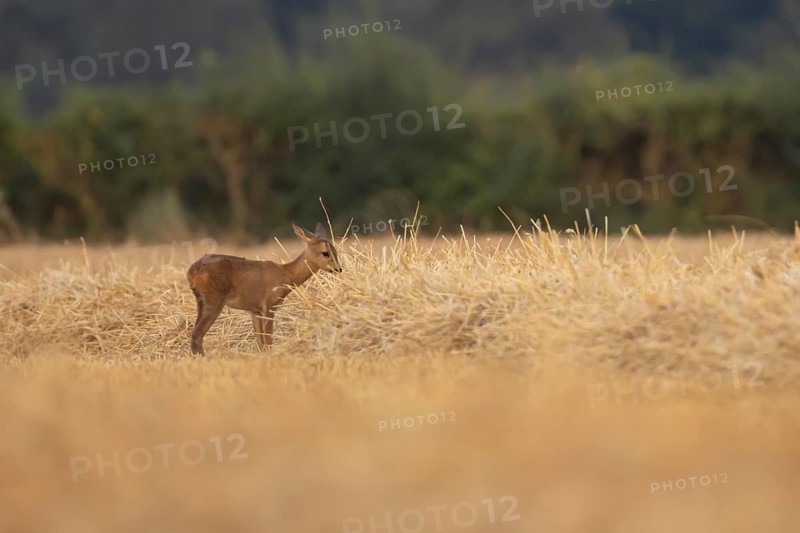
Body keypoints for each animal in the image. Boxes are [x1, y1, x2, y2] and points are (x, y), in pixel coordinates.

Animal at [186, 222, 342, 355]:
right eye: (325, 253)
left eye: (335, 251)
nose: (339, 269)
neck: (285, 275)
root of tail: (192, 271)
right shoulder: (269, 305)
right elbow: (268, 340)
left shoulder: (255, 310)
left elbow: (261, 343)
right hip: (213, 301)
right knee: (196, 335)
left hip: (202, 301)